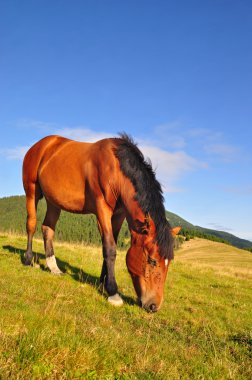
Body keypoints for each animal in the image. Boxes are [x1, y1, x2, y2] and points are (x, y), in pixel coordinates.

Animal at [21, 134, 179, 312]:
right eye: (152, 260)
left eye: (169, 262)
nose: (153, 306)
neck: (116, 169)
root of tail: (40, 145)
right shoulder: (102, 209)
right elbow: (110, 248)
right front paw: (113, 292)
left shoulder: (118, 215)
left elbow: (110, 245)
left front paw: (103, 282)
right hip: (32, 191)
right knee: (31, 224)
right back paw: (28, 260)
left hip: (54, 202)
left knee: (48, 228)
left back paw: (53, 267)